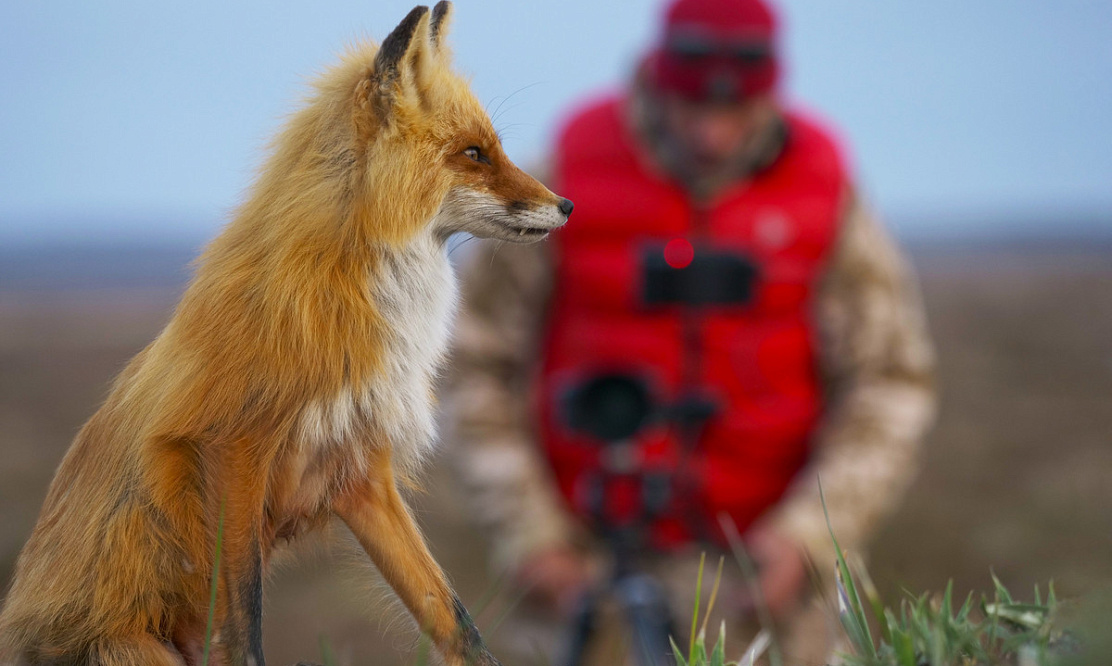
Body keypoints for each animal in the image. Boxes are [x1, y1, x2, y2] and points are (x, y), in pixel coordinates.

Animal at [0, 2, 569, 662]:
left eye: (493, 147)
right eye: (475, 153)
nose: (566, 205)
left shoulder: (360, 472)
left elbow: (456, 620)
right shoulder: (232, 449)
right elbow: (246, 625)